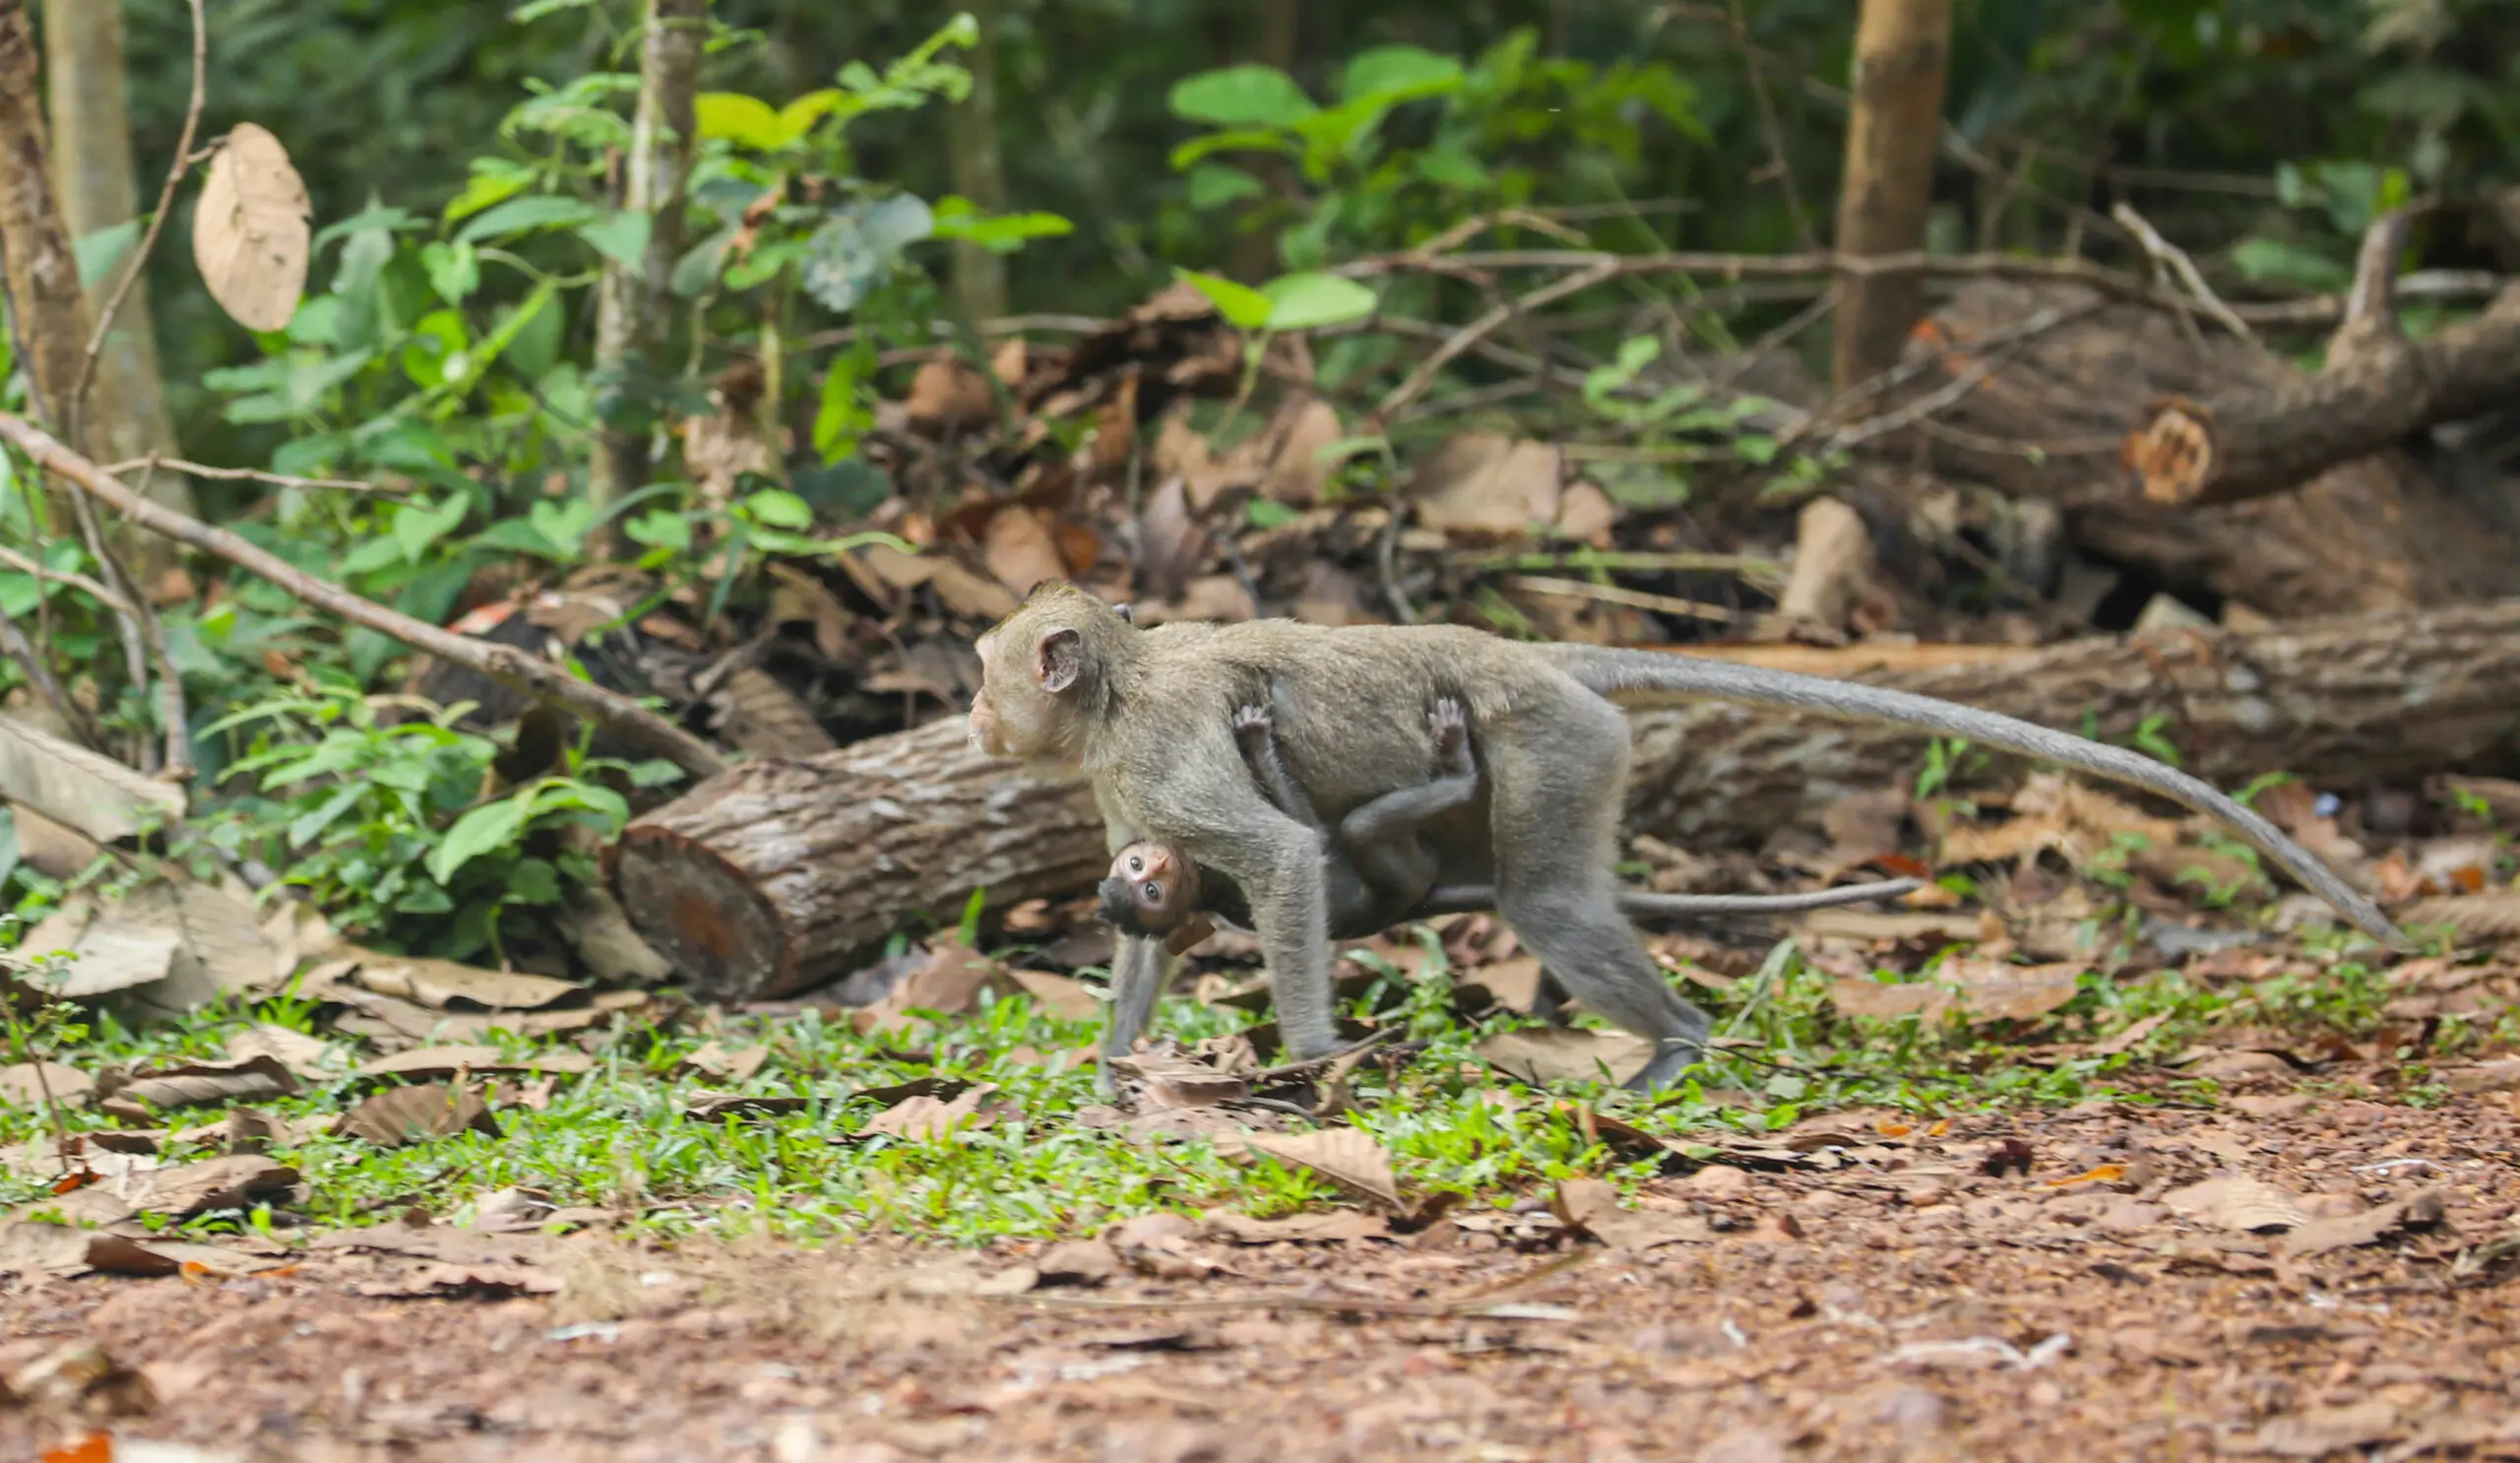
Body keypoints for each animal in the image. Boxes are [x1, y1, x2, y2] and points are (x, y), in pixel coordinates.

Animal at [1099, 701, 1905, 948]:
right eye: (1145, 891)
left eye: (1138, 872)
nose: (1151, 867)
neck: (1204, 886)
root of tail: (1413, 903)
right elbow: (1311, 846)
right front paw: (1260, 747)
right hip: (1405, 867)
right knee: (1359, 833)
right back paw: (1459, 770)